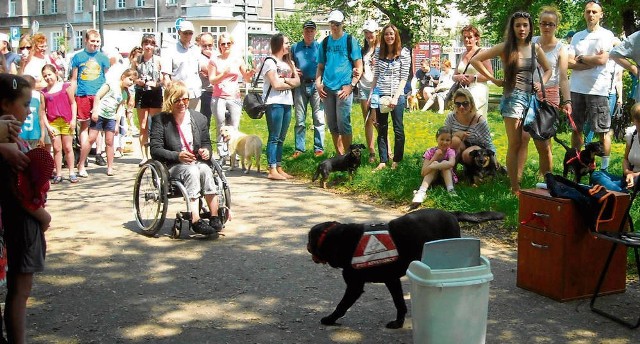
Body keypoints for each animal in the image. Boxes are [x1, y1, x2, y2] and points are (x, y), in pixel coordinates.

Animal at [308, 208, 502, 330]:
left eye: (310, 240)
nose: (307, 246)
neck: (338, 238)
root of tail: (451, 213)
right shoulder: (392, 280)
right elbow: (399, 303)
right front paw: (398, 323)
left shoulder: (355, 286)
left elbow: (341, 305)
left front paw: (329, 319)